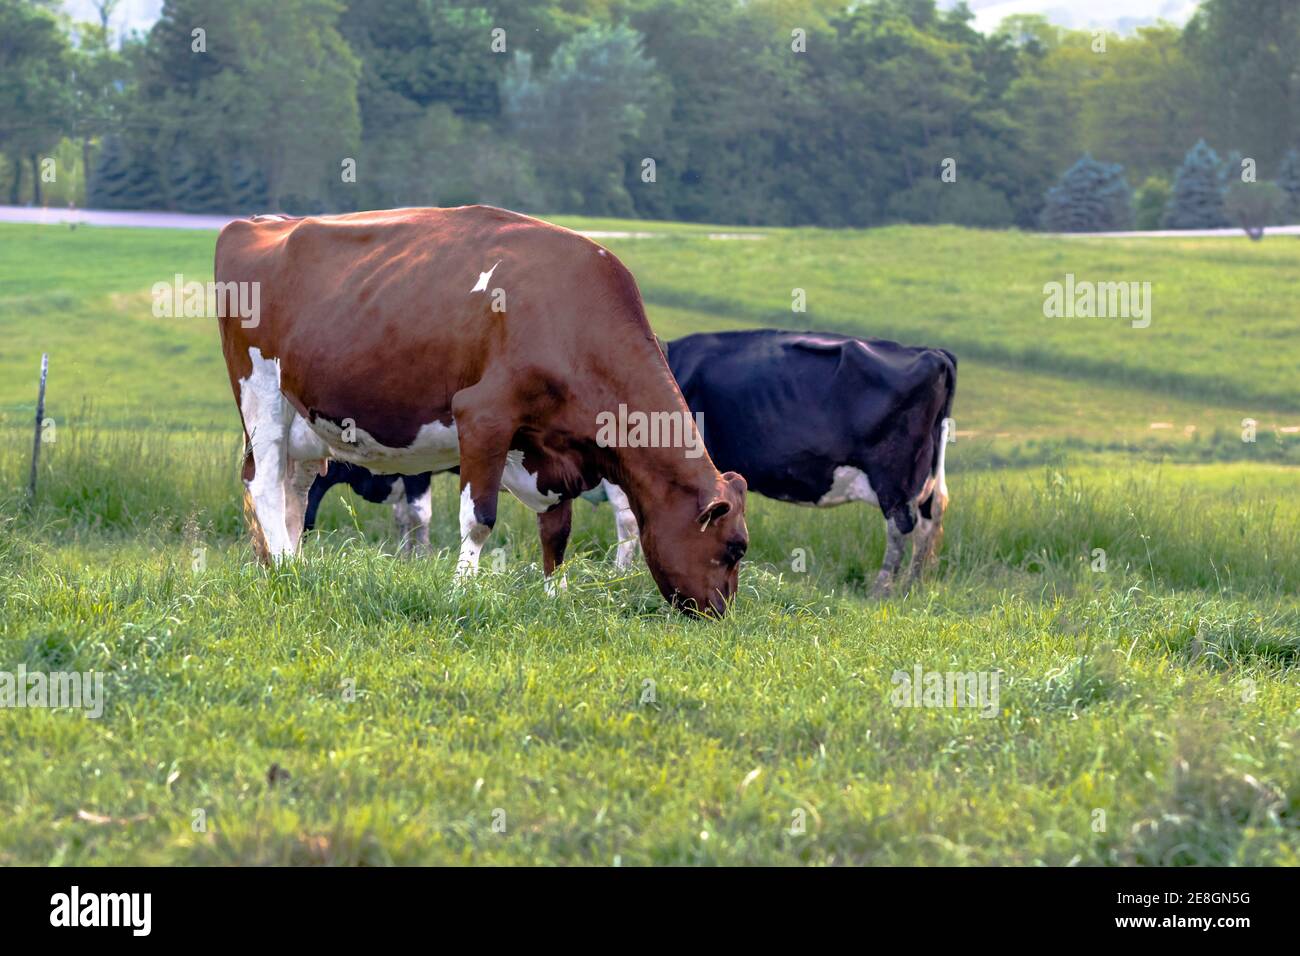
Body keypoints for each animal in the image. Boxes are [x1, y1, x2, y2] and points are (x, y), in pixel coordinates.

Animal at [600, 332, 956, 595]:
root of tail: (933, 353)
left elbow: (629, 519)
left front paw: (621, 573)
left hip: (894, 475)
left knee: (901, 526)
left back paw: (882, 590)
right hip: (924, 475)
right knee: (930, 520)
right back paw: (914, 585)